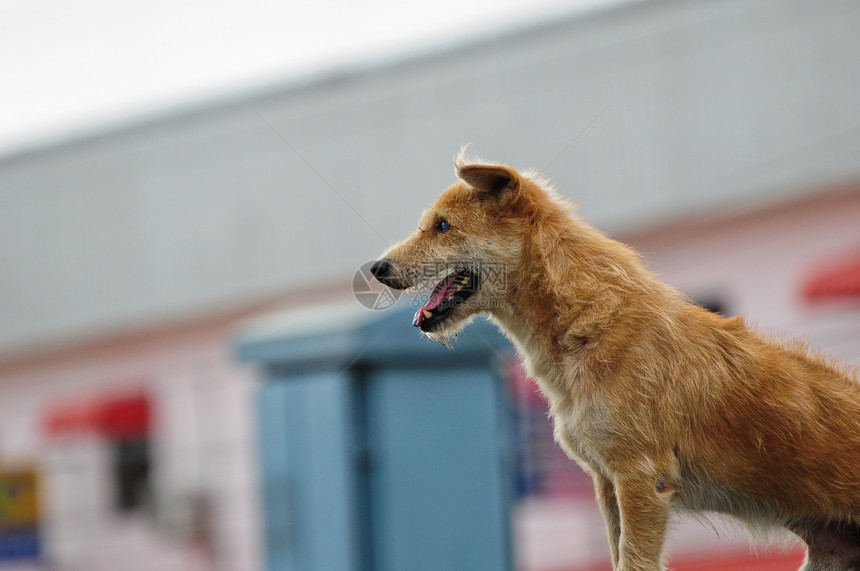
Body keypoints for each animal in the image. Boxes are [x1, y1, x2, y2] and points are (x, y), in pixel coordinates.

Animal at [372, 152, 860, 571]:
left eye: (442, 226)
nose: (376, 268)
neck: (585, 322)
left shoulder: (640, 479)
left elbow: (634, 559)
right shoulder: (608, 486)